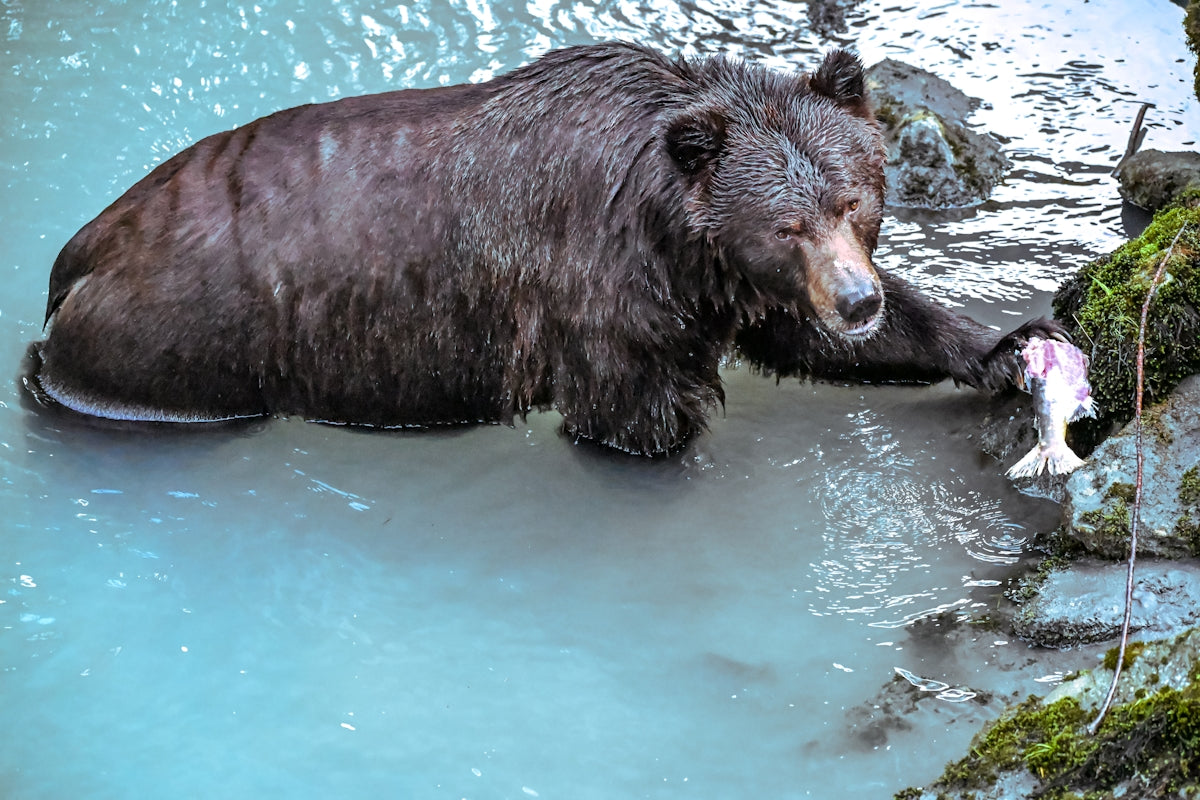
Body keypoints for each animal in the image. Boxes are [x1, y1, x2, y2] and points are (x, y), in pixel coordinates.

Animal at [28, 43, 1059, 455]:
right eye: (787, 223)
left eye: (856, 201)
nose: (856, 299)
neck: (666, 230)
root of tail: (78, 252)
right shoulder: (598, 294)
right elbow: (632, 415)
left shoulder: (724, 286)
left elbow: (799, 338)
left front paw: (1009, 345)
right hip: (184, 341)